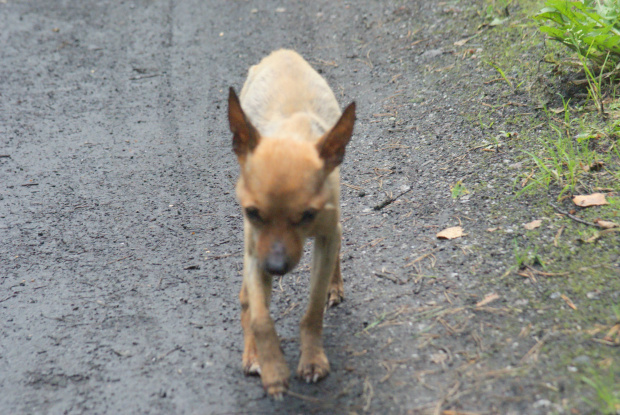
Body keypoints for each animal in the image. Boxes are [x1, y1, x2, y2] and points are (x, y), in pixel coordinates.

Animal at [226, 49, 354, 400]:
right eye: (252, 212)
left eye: (307, 215)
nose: (276, 267)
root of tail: (283, 53)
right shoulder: (254, 252)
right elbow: (259, 317)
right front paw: (273, 369)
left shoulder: (325, 235)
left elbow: (313, 310)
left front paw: (311, 360)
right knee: (246, 302)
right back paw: (253, 354)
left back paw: (335, 285)